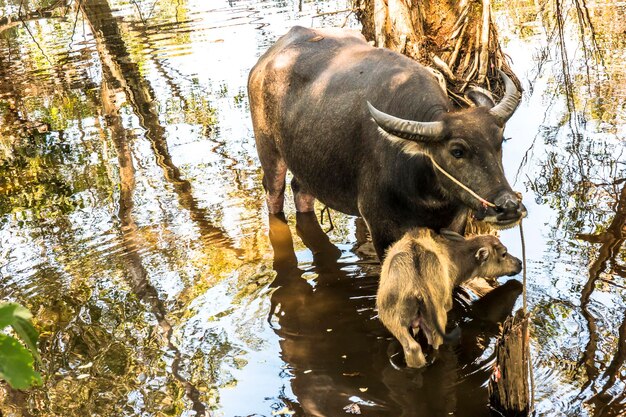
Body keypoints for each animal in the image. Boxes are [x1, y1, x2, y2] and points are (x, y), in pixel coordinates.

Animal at [246, 26, 524, 256]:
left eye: (499, 142)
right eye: (457, 151)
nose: (508, 206)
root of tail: (263, 64)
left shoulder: (455, 224)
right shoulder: (381, 228)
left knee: (301, 190)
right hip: (268, 152)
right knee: (274, 194)